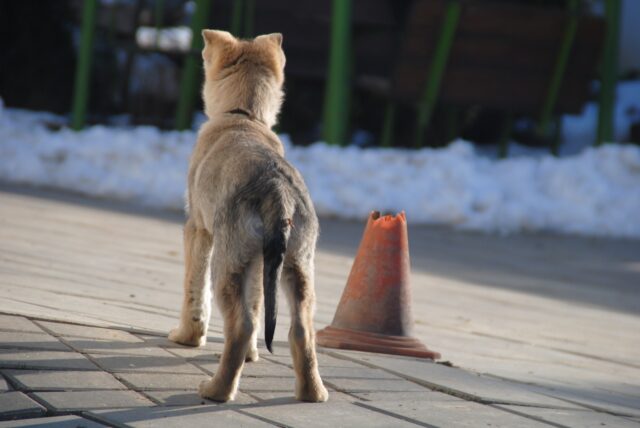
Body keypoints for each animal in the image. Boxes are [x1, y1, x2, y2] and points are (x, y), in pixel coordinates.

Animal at [169, 28, 330, 402]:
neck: (242, 116)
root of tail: (279, 193)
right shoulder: (261, 262)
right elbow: (258, 308)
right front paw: (252, 357)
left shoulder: (197, 230)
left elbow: (193, 291)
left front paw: (186, 338)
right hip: (297, 267)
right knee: (300, 329)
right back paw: (312, 393)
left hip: (228, 264)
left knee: (240, 325)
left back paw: (216, 390)